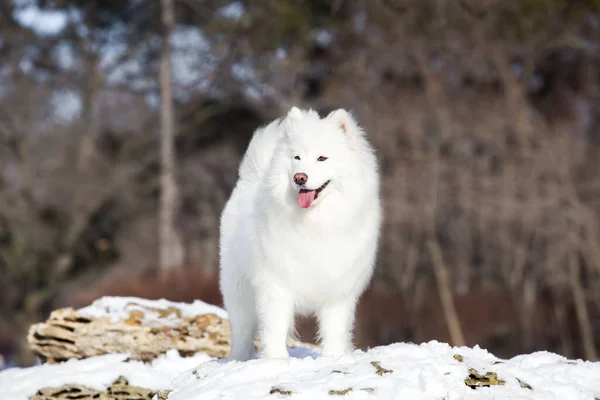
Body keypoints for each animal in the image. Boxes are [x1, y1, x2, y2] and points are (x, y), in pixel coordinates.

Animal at [219, 105, 380, 360]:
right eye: (297, 157)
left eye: (322, 158)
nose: (299, 177)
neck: (315, 224)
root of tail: (250, 178)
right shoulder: (276, 285)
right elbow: (274, 328)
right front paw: (277, 361)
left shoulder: (338, 290)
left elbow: (334, 329)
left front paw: (333, 358)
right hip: (238, 290)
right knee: (242, 331)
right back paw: (238, 359)